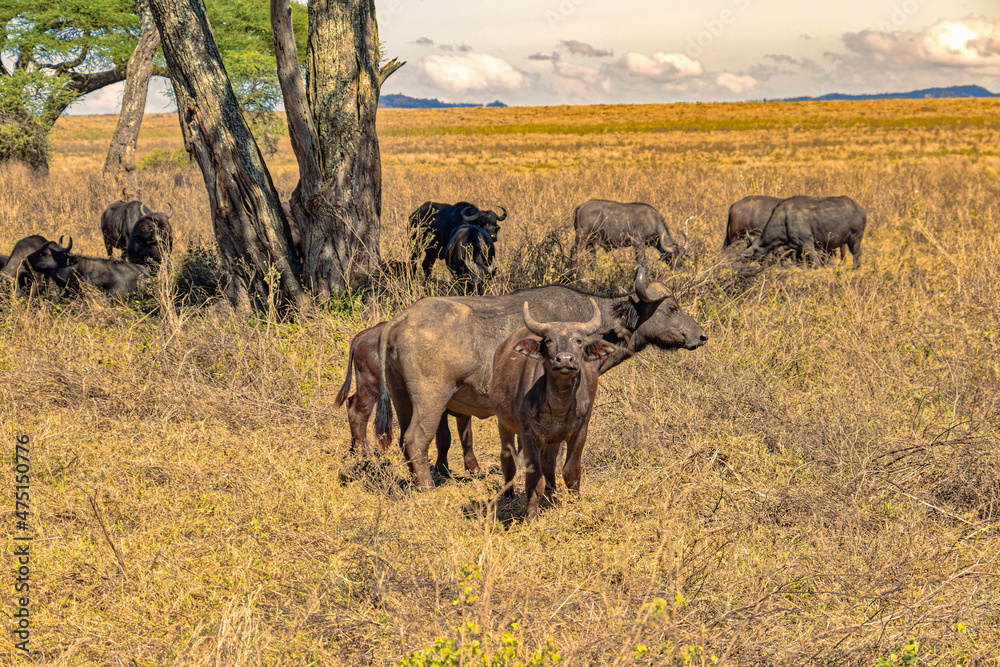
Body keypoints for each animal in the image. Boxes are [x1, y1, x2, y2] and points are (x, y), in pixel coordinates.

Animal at [335, 322, 477, 476]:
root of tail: (362, 336)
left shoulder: (465, 408)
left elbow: (467, 436)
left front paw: (473, 467)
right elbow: (445, 438)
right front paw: (442, 468)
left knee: (351, 402)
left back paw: (353, 450)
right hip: (369, 386)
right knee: (358, 414)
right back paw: (367, 457)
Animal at [375, 266, 708, 489]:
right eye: (672, 307)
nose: (702, 335)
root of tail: (402, 318)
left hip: (402, 400)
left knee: (405, 442)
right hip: (431, 400)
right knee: (416, 440)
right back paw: (428, 487)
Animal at [491, 299, 618, 522]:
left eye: (578, 341)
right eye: (549, 340)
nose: (565, 360)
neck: (560, 404)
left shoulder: (580, 432)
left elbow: (571, 472)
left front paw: (576, 503)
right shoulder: (529, 435)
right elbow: (534, 478)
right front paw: (531, 515)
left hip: (553, 439)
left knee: (549, 462)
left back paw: (552, 494)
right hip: (503, 423)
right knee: (507, 457)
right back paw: (509, 494)